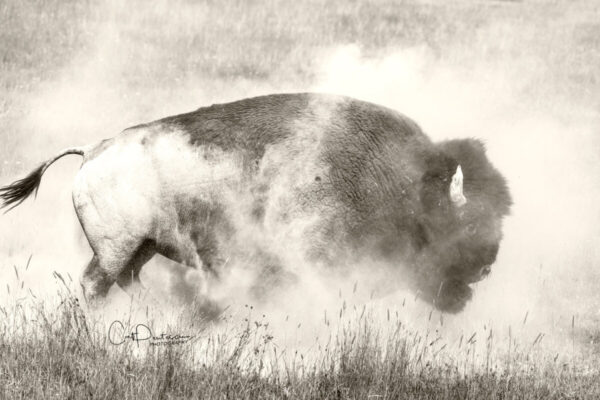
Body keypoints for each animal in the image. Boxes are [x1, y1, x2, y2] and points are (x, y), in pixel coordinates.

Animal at [0, 93, 510, 312]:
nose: (487, 266)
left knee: (127, 282)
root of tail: (94, 149)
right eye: (466, 224)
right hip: (115, 249)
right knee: (95, 285)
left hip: (139, 248)